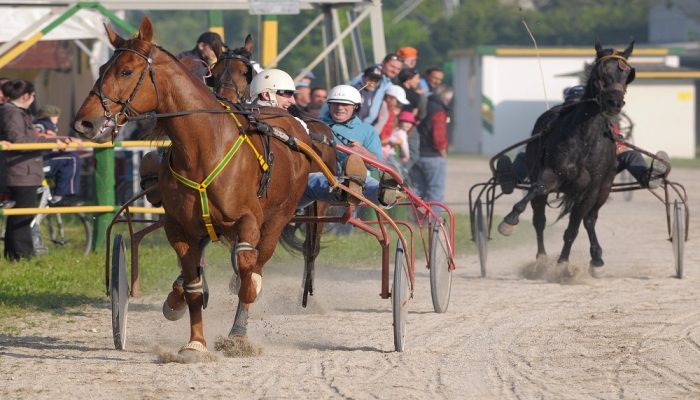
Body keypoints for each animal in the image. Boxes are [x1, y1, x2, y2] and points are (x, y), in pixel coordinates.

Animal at [73, 17, 318, 352]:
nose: (84, 122)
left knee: (257, 262)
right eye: (100, 69)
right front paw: (195, 341)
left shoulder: (248, 220)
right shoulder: (180, 228)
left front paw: (238, 326)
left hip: (278, 217)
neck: (203, 147)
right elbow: (192, 286)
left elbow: (246, 269)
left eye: (126, 71)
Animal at [498, 41, 636, 278]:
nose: (614, 102)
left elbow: (574, 227)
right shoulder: (552, 173)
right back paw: (542, 259)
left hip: (605, 188)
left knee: (589, 219)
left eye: (627, 74)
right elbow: (536, 192)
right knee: (539, 220)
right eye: (601, 71)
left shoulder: (591, 188)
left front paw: (563, 263)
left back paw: (596, 258)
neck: (585, 137)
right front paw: (510, 220)